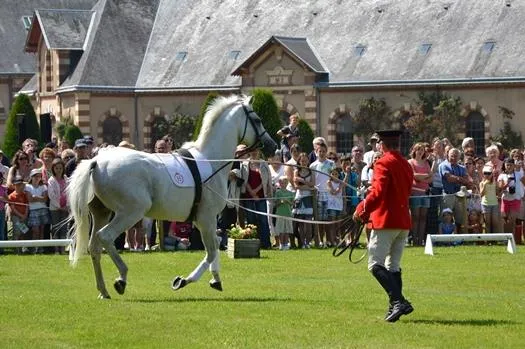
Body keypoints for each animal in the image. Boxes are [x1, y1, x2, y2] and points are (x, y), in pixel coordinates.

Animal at [67, 94, 276, 296]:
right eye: (257, 120)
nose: (272, 145)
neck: (211, 161)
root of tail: (96, 162)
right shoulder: (206, 218)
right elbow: (211, 251)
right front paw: (183, 281)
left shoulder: (203, 220)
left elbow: (215, 246)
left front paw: (215, 280)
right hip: (130, 213)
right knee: (106, 237)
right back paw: (121, 279)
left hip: (101, 213)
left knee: (94, 247)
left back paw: (103, 291)